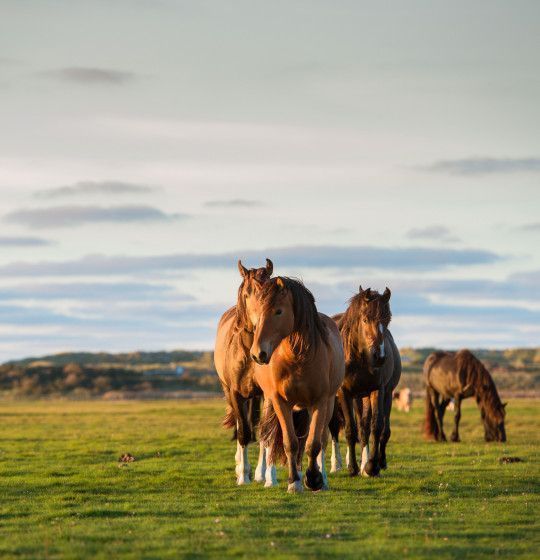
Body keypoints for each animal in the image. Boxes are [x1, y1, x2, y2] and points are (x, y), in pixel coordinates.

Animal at [213, 260, 276, 484]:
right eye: (248, 294)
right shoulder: (236, 393)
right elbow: (243, 433)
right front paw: (243, 476)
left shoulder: (267, 394)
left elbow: (265, 433)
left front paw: (266, 475)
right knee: (243, 428)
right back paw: (240, 465)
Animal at [247, 278, 344, 492]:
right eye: (257, 311)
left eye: (278, 311)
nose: (258, 353)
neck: (296, 359)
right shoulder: (280, 402)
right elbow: (290, 443)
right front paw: (294, 482)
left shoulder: (319, 402)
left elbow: (314, 443)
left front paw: (313, 479)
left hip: (327, 404)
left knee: (321, 439)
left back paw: (322, 479)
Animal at [330, 288, 400, 476]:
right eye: (365, 319)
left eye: (388, 320)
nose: (379, 357)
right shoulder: (344, 393)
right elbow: (350, 430)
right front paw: (353, 468)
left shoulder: (378, 390)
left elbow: (376, 427)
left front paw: (371, 466)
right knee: (336, 428)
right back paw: (336, 465)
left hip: (371, 396)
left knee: (370, 428)